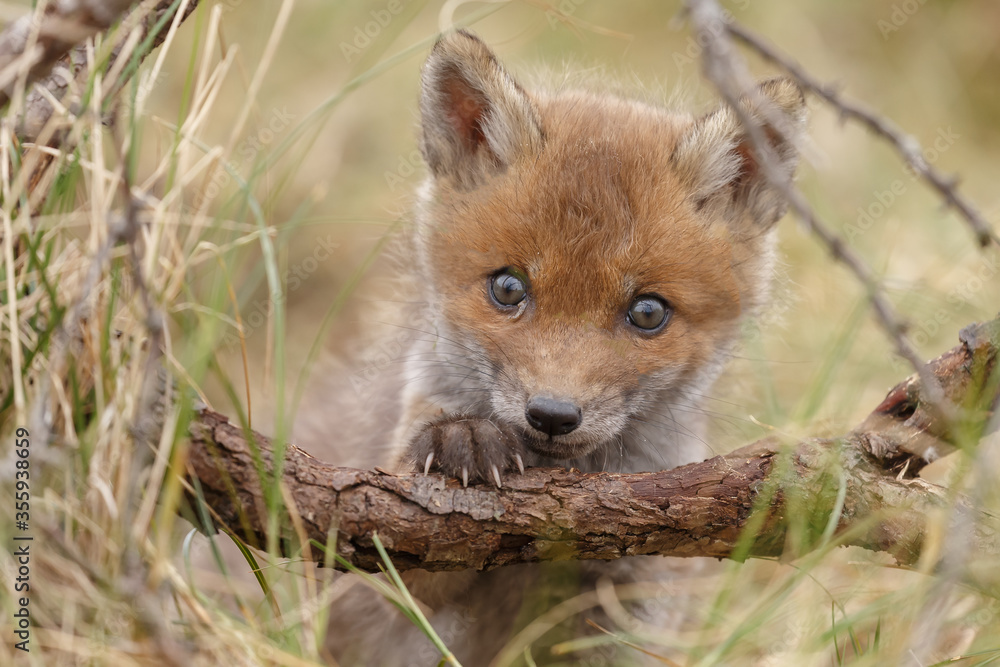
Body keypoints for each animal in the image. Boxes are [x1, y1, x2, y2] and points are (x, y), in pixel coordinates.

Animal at [300, 28, 808, 664]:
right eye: (508, 288)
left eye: (647, 313)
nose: (552, 414)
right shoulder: (390, 545)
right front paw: (461, 438)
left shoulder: (632, 597)